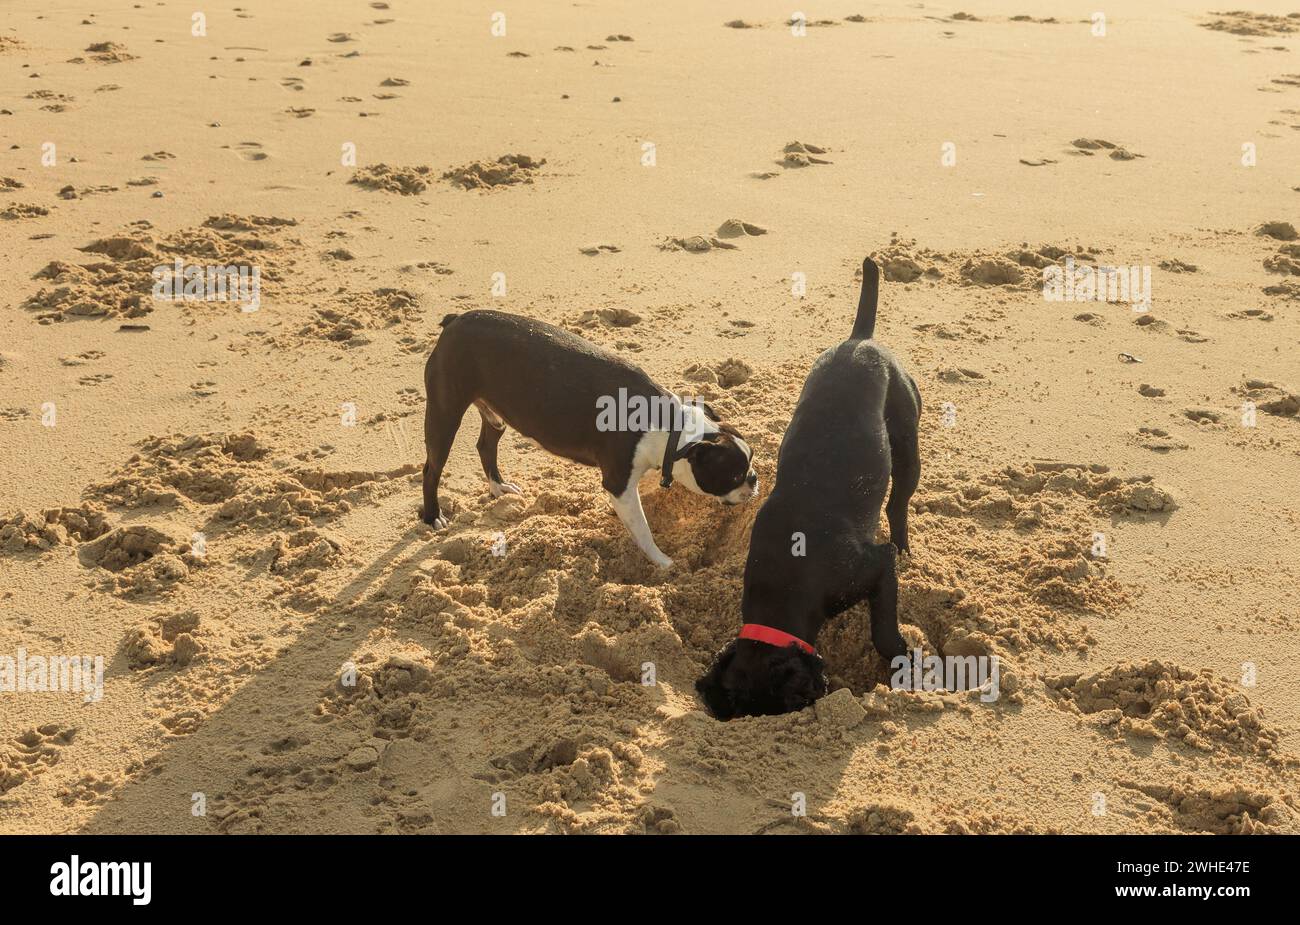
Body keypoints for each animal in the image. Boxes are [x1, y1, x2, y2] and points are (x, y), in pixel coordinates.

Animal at [416, 309, 759, 563]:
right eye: (733, 475)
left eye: (751, 461)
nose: (754, 479)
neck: (669, 426)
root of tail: (455, 321)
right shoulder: (619, 482)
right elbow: (643, 529)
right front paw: (663, 563)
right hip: (445, 410)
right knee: (432, 467)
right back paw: (433, 516)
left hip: (495, 414)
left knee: (486, 444)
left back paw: (499, 486)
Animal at [696, 258, 920, 722]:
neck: (784, 585)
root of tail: (860, 340)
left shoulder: (877, 565)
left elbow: (884, 630)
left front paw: (901, 658)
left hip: (908, 443)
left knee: (899, 504)